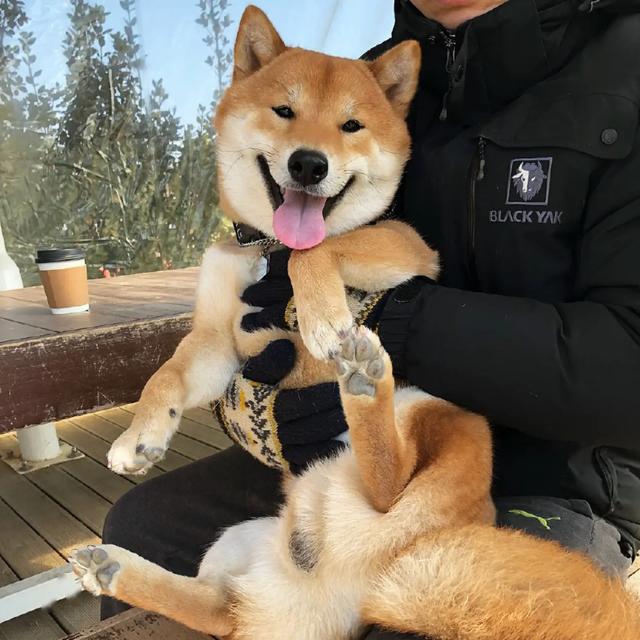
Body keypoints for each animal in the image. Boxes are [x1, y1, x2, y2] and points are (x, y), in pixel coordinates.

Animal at [70, 5, 640, 640]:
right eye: (284, 111)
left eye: (351, 126)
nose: (308, 163)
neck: (266, 249)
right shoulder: (219, 341)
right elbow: (165, 377)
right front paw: (138, 439)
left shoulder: (407, 246)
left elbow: (314, 253)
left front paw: (321, 317)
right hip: (235, 547)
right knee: (218, 609)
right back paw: (112, 567)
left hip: (439, 415)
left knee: (390, 481)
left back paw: (364, 378)